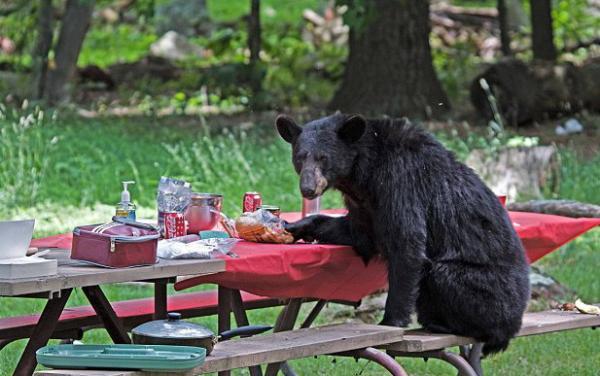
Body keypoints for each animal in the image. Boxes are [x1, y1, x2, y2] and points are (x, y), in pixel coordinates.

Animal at [276, 113, 528, 354]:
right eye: (300, 157)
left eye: (323, 158)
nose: (308, 188)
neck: (364, 172)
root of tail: (515, 322)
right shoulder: (364, 203)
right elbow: (359, 233)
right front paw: (295, 226)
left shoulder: (401, 181)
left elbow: (407, 242)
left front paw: (389, 323)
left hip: (489, 294)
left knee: (443, 275)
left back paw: (444, 324)